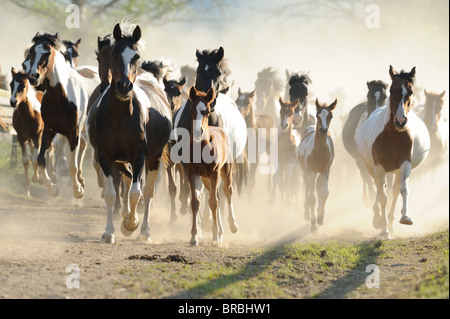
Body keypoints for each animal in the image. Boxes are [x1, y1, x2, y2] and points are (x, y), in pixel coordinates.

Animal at [88, 22, 172, 244]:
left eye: (136, 56)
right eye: (115, 54)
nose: (124, 86)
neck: (120, 116)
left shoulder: (139, 156)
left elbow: (137, 192)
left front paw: (131, 224)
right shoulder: (105, 156)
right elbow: (111, 192)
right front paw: (109, 232)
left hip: (154, 158)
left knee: (148, 191)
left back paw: (145, 231)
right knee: (126, 181)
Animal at [298, 98, 336, 232]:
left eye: (330, 116)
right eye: (317, 115)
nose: (323, 130)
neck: (319, 150)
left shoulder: (326, 170)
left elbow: (324, 193)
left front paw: (320, 217)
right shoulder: (311, 171)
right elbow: (312, 198)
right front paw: (313, 222)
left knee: (318, 187)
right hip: (305, 171)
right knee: (307, 187)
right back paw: (306, 213)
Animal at [356, 66, 430, 239]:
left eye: (410, 91)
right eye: (391, 90)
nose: (400, 121)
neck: (392, 135)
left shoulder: (405, 163)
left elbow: (403, 189)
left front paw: (405, 217)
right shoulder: (378, 167)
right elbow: (382, 197)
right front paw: (384, 230)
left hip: (396, 170)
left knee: (394, 191)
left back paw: (391, 222)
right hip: (370, 167)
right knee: (378, 190)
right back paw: (379, 220)